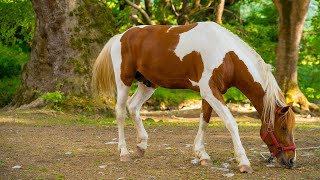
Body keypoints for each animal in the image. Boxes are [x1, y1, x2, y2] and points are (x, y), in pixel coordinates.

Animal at [91, 21, 296, 173]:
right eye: (283, 127)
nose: (291, 160)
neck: (225, 54)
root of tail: (121, 36)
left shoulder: (210, 93)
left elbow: (204, 121)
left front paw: (202, 155)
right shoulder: (210, 91)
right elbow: (231, 123)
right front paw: (243, 162)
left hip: (148, 84)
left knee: (133, 106)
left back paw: (141, 145)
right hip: (124, 80)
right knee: (120, 111)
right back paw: (124, 152)